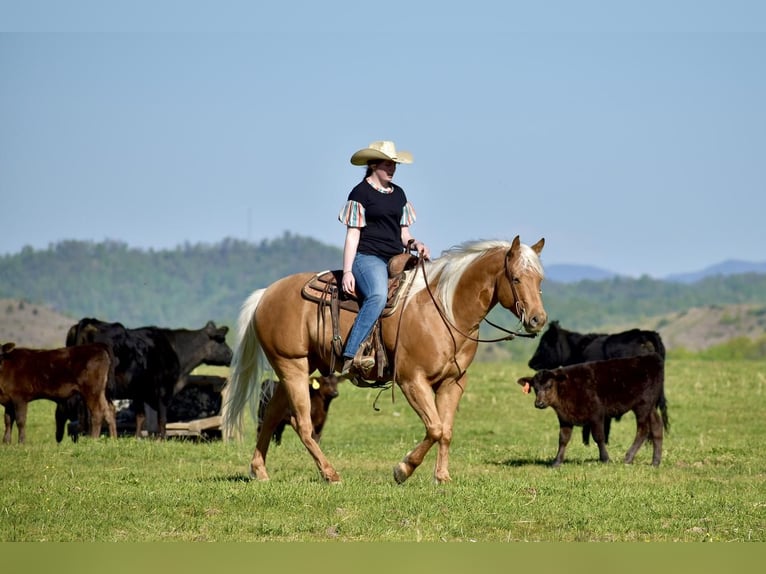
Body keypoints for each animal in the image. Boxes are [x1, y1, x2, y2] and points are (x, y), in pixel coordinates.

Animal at [60, 320, 231, 440]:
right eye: (222, 341)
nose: (232, 355)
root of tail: (87, 322)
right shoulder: (163, 390)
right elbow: (162, 418)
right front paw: (162, 439)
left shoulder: (139, 391)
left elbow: (140, 416)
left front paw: (137, 438)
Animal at [222, 237, 544, 486]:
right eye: (516, 278)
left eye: (539, 280)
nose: (538, 320)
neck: (444, 310)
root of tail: (266, 293)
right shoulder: (411, 380)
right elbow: (435, 428)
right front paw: (403, 470)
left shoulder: (453, 383)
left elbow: (446, 430)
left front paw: (441, 477)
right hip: (293, 366)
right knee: (301, 423)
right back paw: (330, 474)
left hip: (296, 368)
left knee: (272, 413)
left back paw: (259, 470)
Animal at [520, 356, 668, 468]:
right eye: (535, 388)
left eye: (549, 386)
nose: (539, 403)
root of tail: (651, 358)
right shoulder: (565, 418)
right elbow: (563, 439)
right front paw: (557, 462)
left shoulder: (596, 414)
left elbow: (599, 437)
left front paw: (605, 459)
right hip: (650, 407)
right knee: (656, 426)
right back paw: (655, 462)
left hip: (643, 405)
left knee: (643, 429)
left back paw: (628, 458)